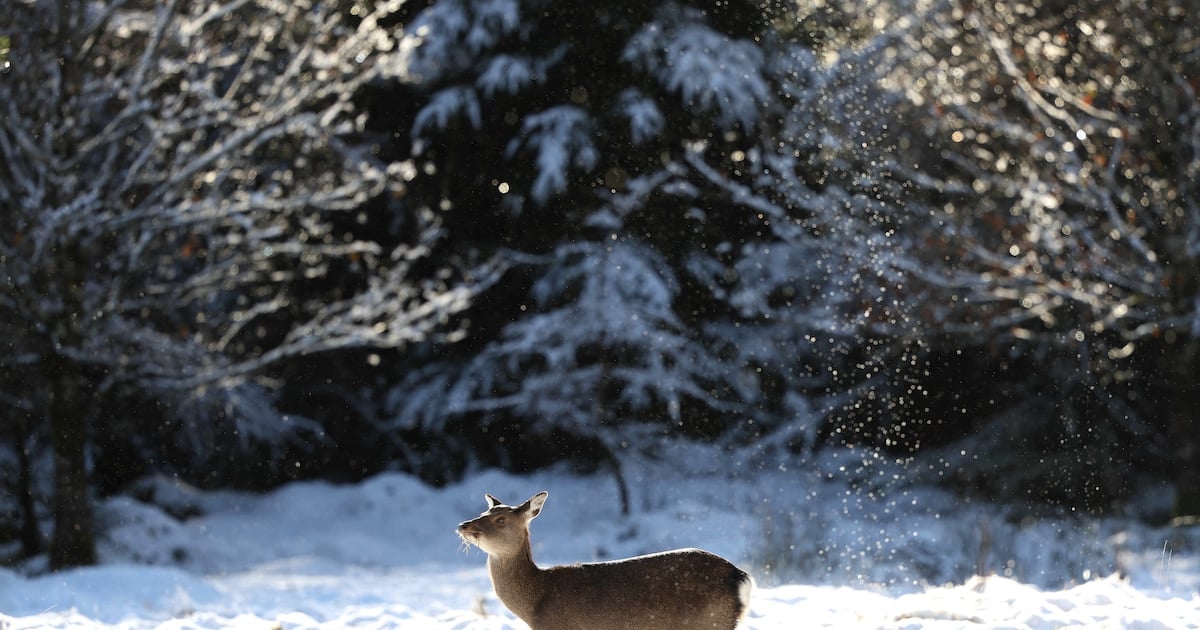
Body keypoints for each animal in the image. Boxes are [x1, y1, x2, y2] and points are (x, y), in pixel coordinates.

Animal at [456, 492, 748, 628]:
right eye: (483, 512)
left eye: (500, 519)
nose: (463, 525)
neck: (535, 606)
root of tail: (742, 578)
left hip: (709, 621)